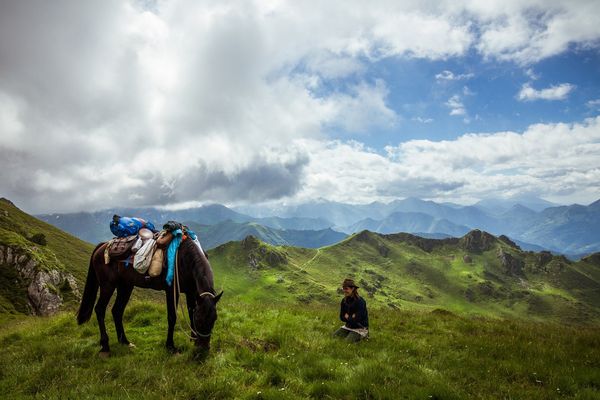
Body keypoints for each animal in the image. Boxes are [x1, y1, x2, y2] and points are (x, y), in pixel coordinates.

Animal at [77, 238, 223, 356]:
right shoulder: (171, 291)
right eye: (199, 320)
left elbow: (190, 311)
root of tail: (102, 246)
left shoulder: (191, 292)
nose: (203, 349)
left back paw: (125, 341)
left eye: (214, 319)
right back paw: (105, 346)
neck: (184, 259)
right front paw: (170, 346)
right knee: (100, 309)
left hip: (125, 286)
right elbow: (172, 317)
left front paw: (192, 339)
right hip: (108, 285)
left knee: (117, 311)